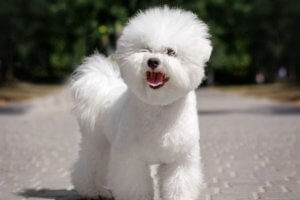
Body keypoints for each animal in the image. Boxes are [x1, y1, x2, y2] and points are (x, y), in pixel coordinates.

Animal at [70, 6, 212, 200]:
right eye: (146, 49)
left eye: (171, 52)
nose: (153, 61)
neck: (159, 108)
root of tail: (103, 88)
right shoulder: (131, 159)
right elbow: (134, 185)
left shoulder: (180, 160)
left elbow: (179, 185)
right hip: (98, 141)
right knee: (89, 166)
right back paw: (93, 191)